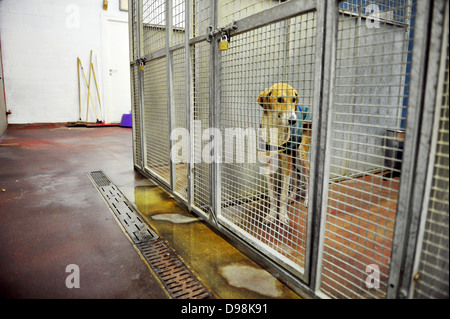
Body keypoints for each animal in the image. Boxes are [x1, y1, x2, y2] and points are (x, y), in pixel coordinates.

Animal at [258, 83, 312, 225]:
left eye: (293, 99)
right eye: (280, 99)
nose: (293, 120)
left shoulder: (286, 162)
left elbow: (281, 195)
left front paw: (282, 215)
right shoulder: (268, 163)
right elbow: (272, 195)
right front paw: (271, 215)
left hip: (300, 154)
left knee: (306, 176)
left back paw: (307, 200)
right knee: (297, 175)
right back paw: (291, 197)